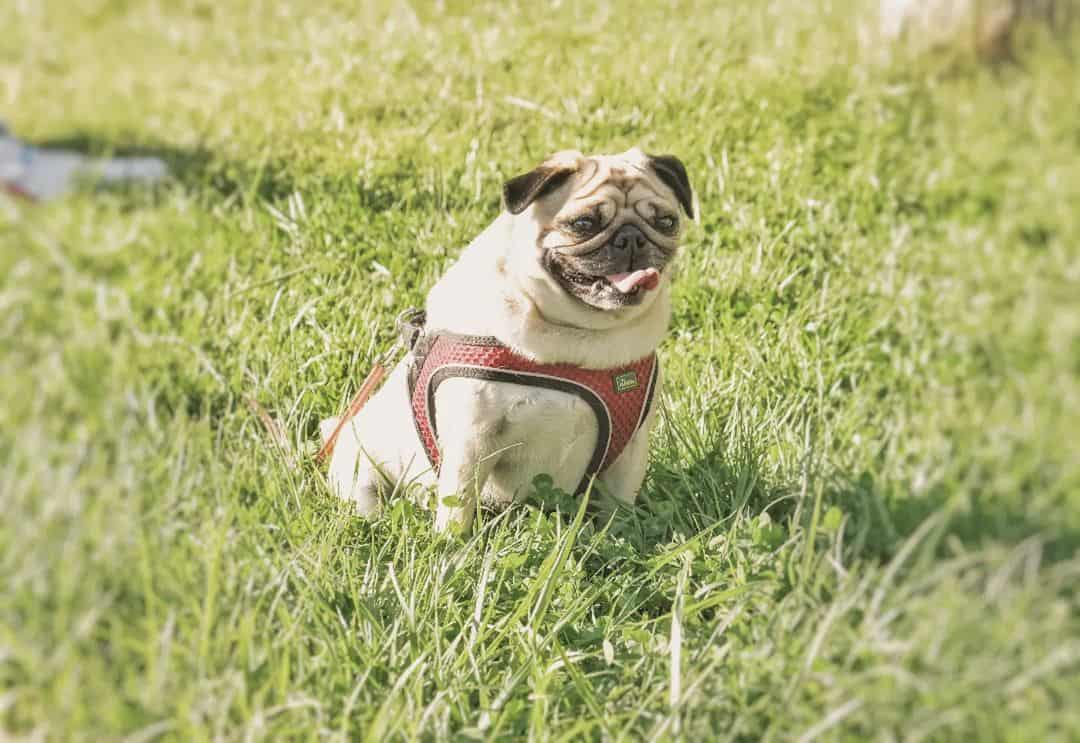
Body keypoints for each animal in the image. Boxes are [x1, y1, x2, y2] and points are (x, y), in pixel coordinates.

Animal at [319, 147, 691, 531]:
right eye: (583, 224)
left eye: (666, 222)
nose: (632, 237)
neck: (579, 334)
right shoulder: (471, 440)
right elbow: (458, 506)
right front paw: (451, 543)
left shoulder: (630, 450)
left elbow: (618, 507)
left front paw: (622, 534)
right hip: (361, 472)